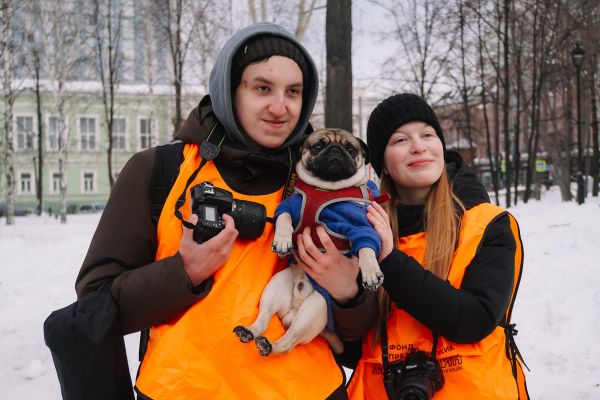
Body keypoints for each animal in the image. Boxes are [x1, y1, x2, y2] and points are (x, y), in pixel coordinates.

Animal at [234, 128, 384, 356]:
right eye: (318, 146)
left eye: (351, 149)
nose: (335, 151)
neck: (327, 190)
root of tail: (293, 309)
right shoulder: (290, 206)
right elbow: (283, 218)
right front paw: (283, 240)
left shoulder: (360, 224)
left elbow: (366, 246)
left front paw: (370, 271)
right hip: (275, 289)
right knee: (264, 318)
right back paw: (250, 332)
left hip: (314, 310)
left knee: (288, 343)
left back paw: (268, 344)